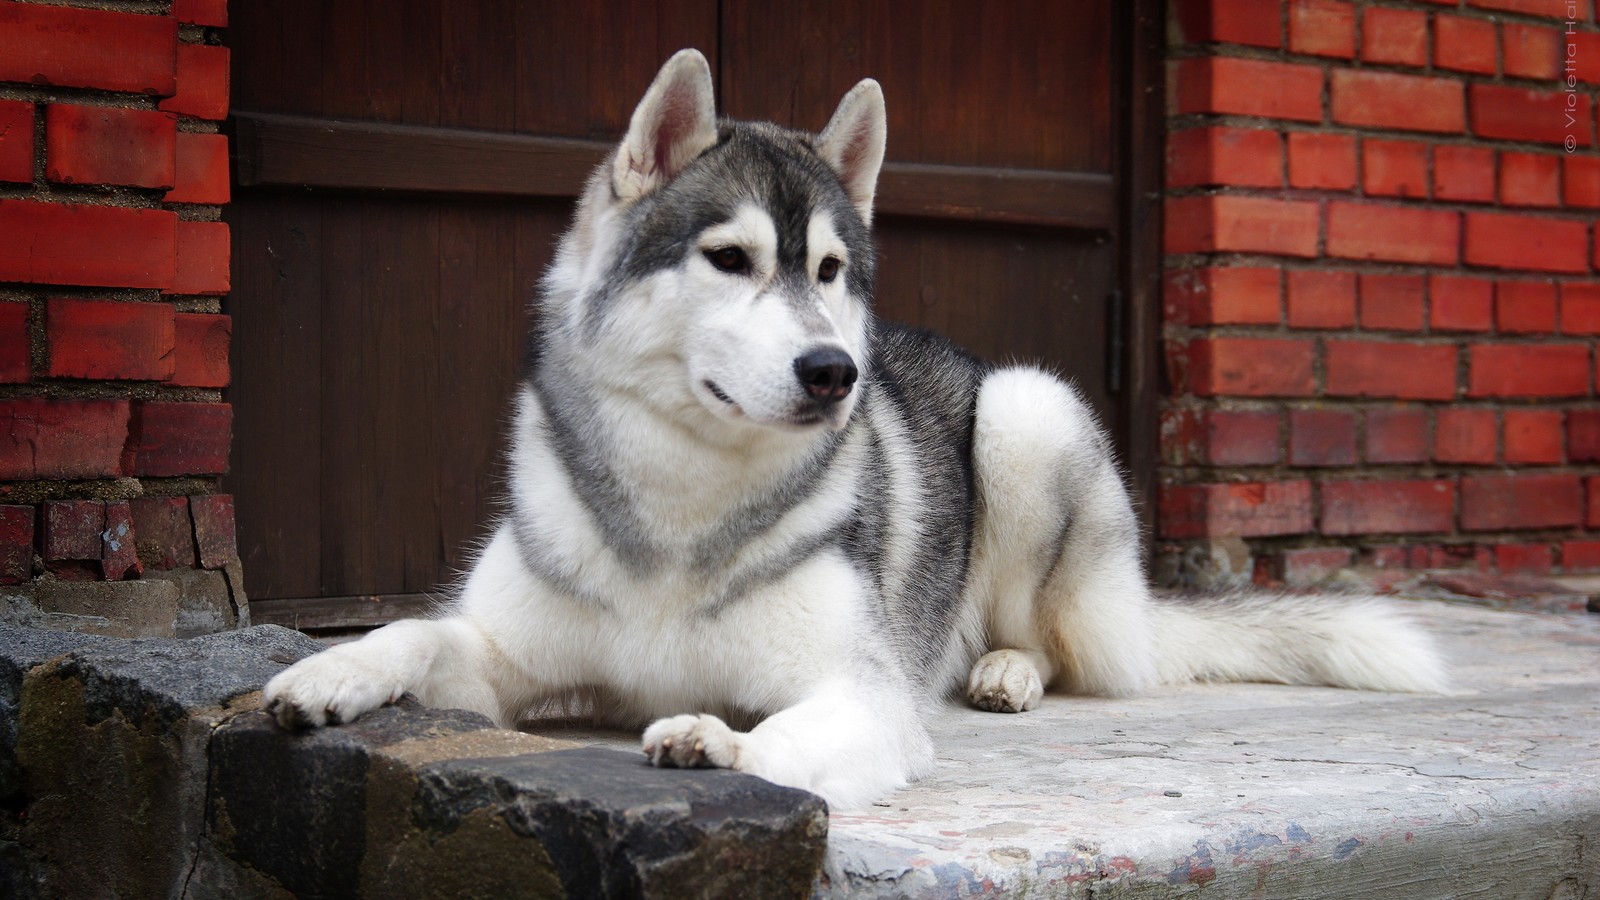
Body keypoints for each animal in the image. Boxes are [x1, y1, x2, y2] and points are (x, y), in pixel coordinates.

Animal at [265, 47, 1452, 807]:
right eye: (729, 258)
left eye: (830, 271)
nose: (835, 371)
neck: (683, 507)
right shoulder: (506, 655)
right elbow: (421, 633)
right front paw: (325, 676)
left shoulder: (862, 692)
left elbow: (787, 732)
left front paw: (717, 742)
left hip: (1027, 413)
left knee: (1063, 647)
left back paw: (1005, 669)